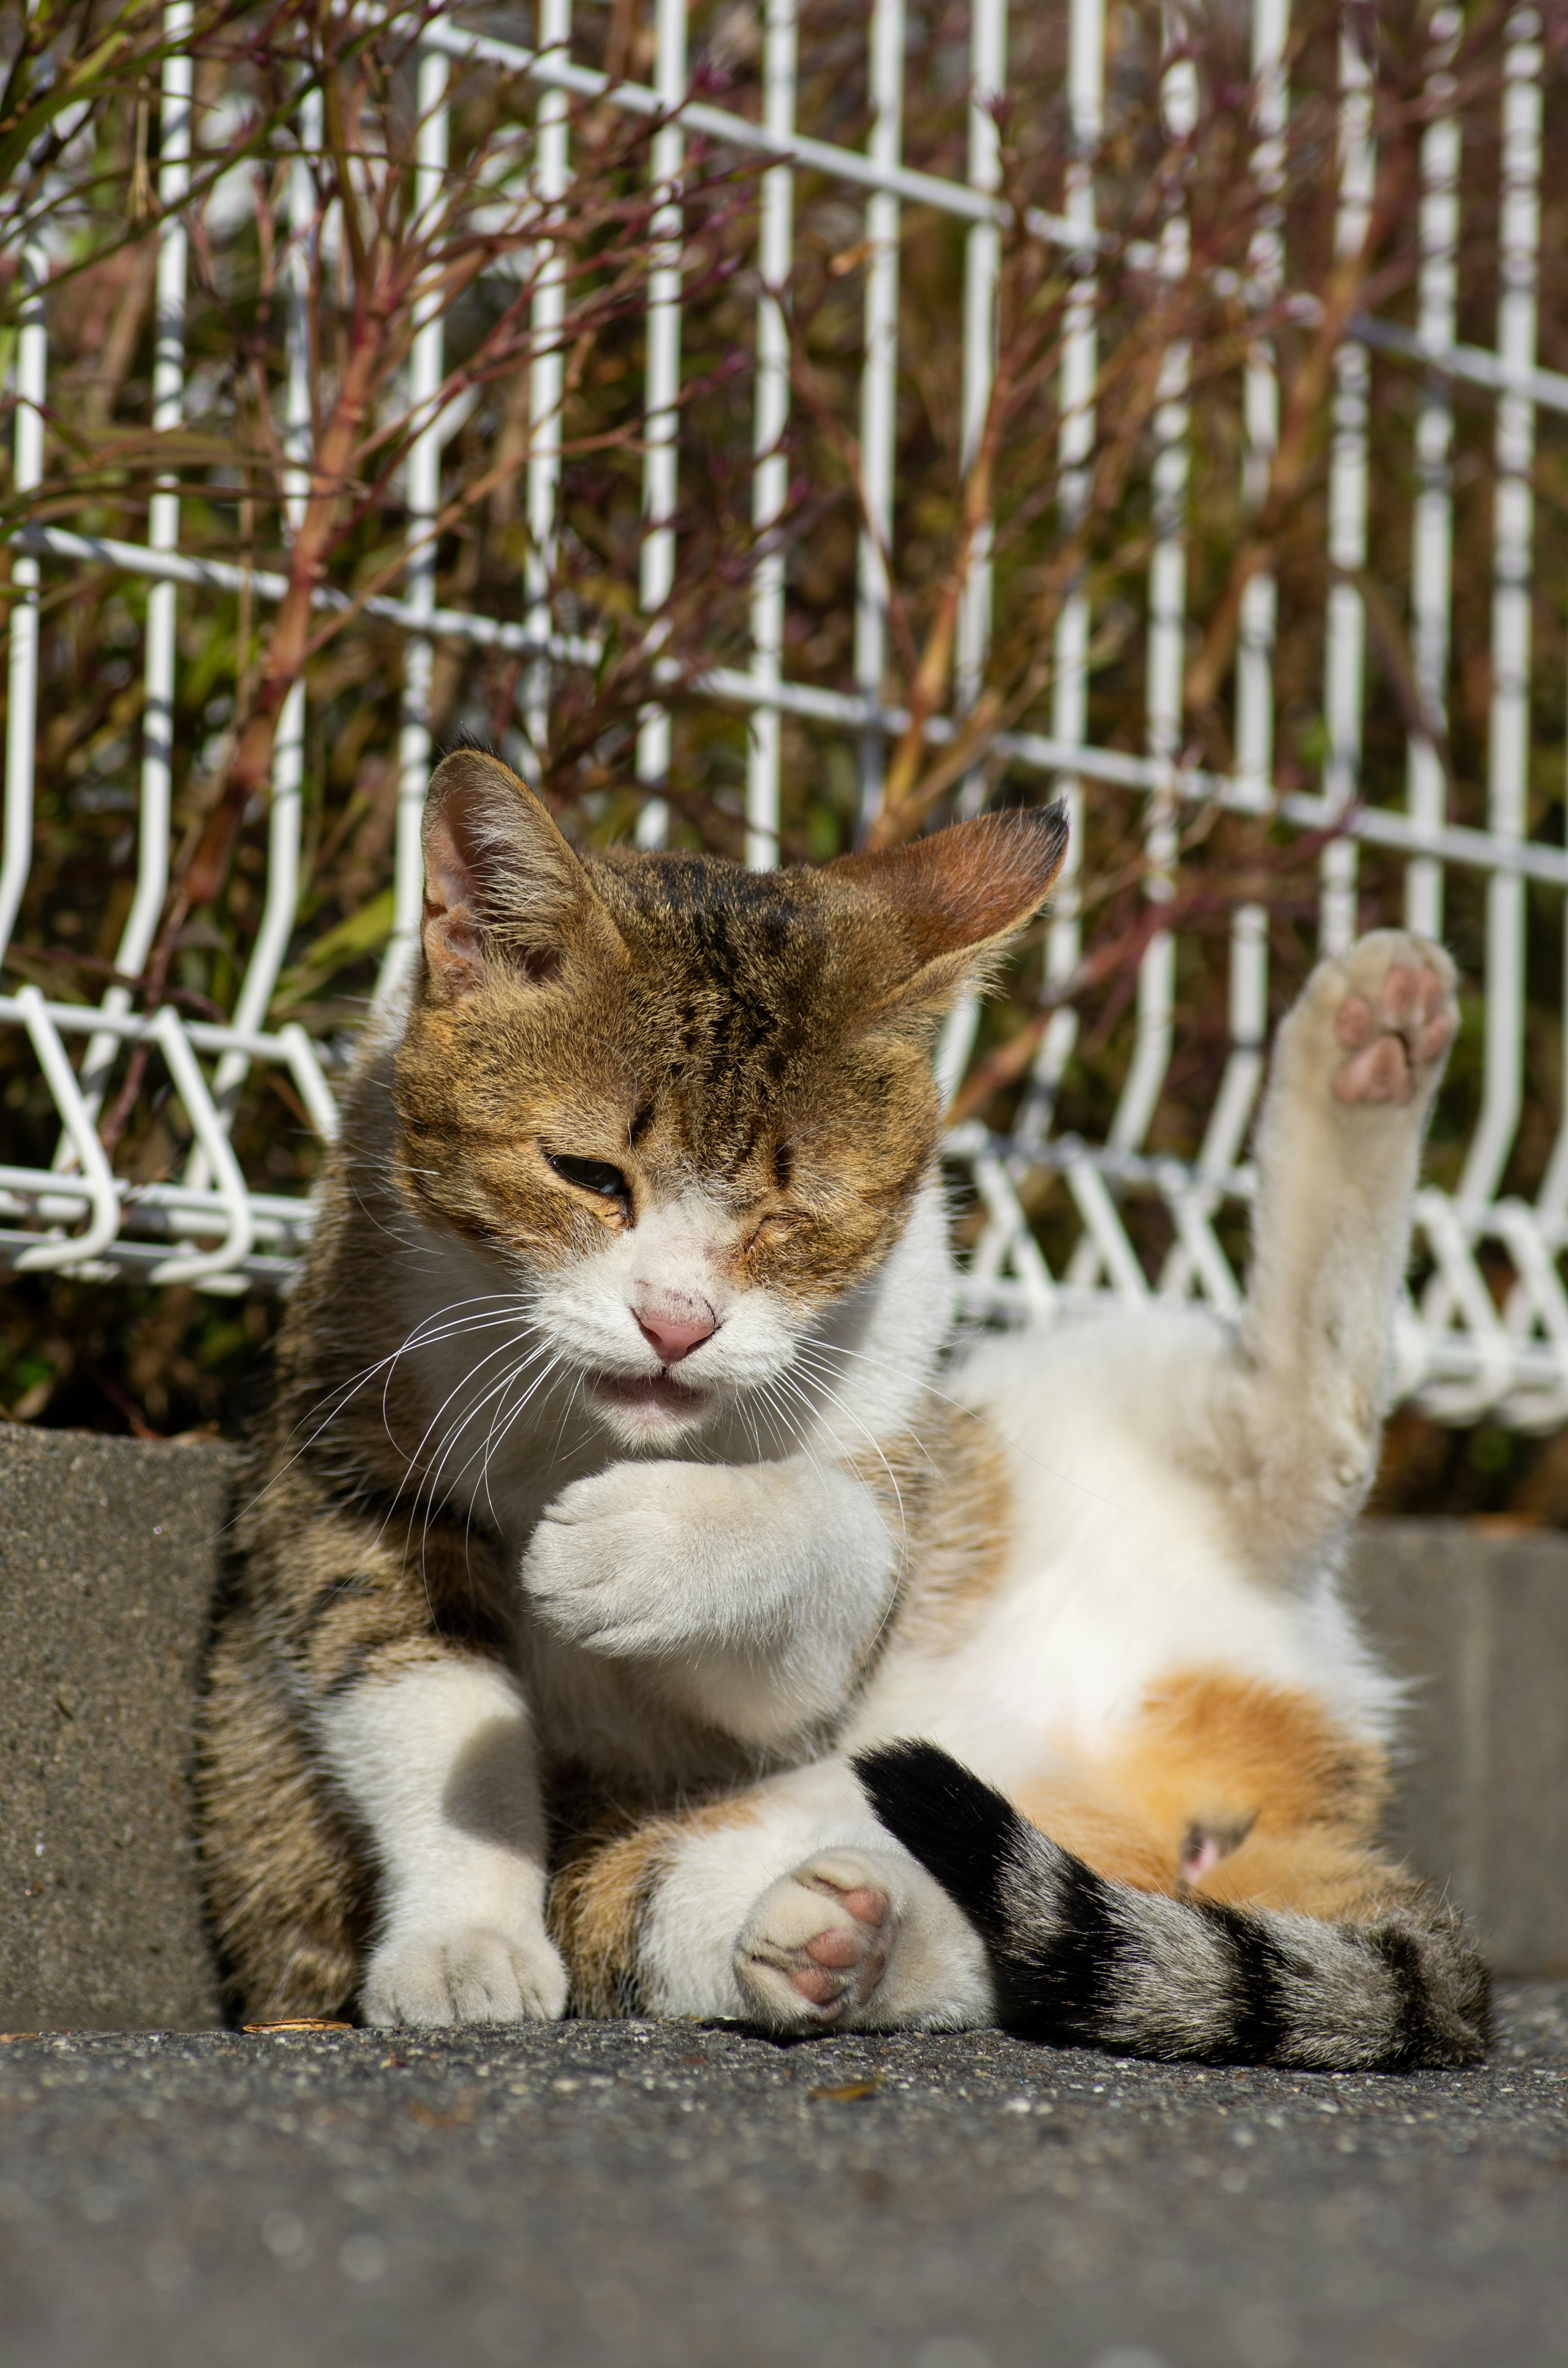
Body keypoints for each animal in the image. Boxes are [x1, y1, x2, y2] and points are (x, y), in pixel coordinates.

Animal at [196, 748, 1487, 2065]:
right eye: (588, 1176)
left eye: (791, 1216)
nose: (676, 1321)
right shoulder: (345, 1462)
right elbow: (417, 1691)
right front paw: (464, 1938)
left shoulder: (850, 1565)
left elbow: (829, 1547)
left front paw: (644, 1544)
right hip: (685, 1872)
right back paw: (849, 1938)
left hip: (1073, 1402)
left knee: (1297, 1433)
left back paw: (1368, 1036)